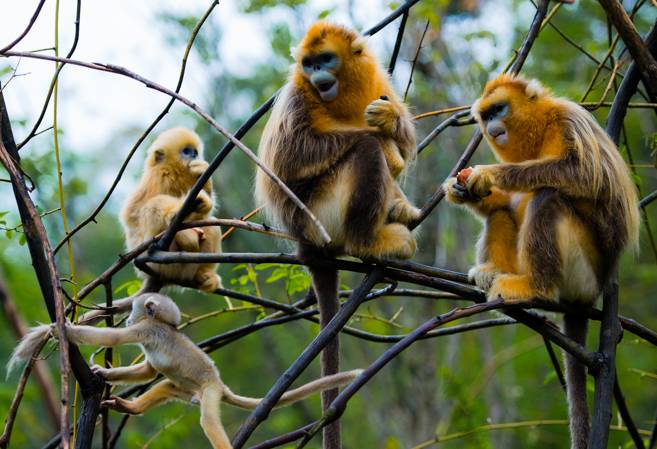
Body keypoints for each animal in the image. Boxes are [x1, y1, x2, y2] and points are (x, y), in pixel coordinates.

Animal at [7, 290, 362, 448]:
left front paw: (61, 329)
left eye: (135, 308)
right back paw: (131, 407)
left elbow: (114, 338)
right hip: (185, 390)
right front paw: (103, 374)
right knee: (164, 386)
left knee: (208, 419)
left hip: (209, 391)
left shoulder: (147, 330)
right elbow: (149, 373)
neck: (160, 325)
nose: (129, 314)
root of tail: (220, 384)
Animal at [122, 127, 223, 294]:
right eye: (186, 151)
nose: (194, 155)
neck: (173, 173)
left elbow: (204, 214)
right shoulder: (157, 178)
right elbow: (134, 214)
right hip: (161, 264)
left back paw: (204, 275)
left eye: (195, 152)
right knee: (153, 205)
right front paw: (184, 232)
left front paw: (203, 179)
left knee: (212, 224)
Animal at [444, 73, 640, 448]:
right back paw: (493, 274)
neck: (543, 126)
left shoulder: (570, 121)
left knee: (548, 195)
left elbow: (583, 173)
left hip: (582, 271)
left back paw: (536, 288)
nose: (492, 127)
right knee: (503, 212)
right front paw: (459, 190)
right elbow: (499, 204)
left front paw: (491, 173)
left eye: (499, 109)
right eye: (486, 115)